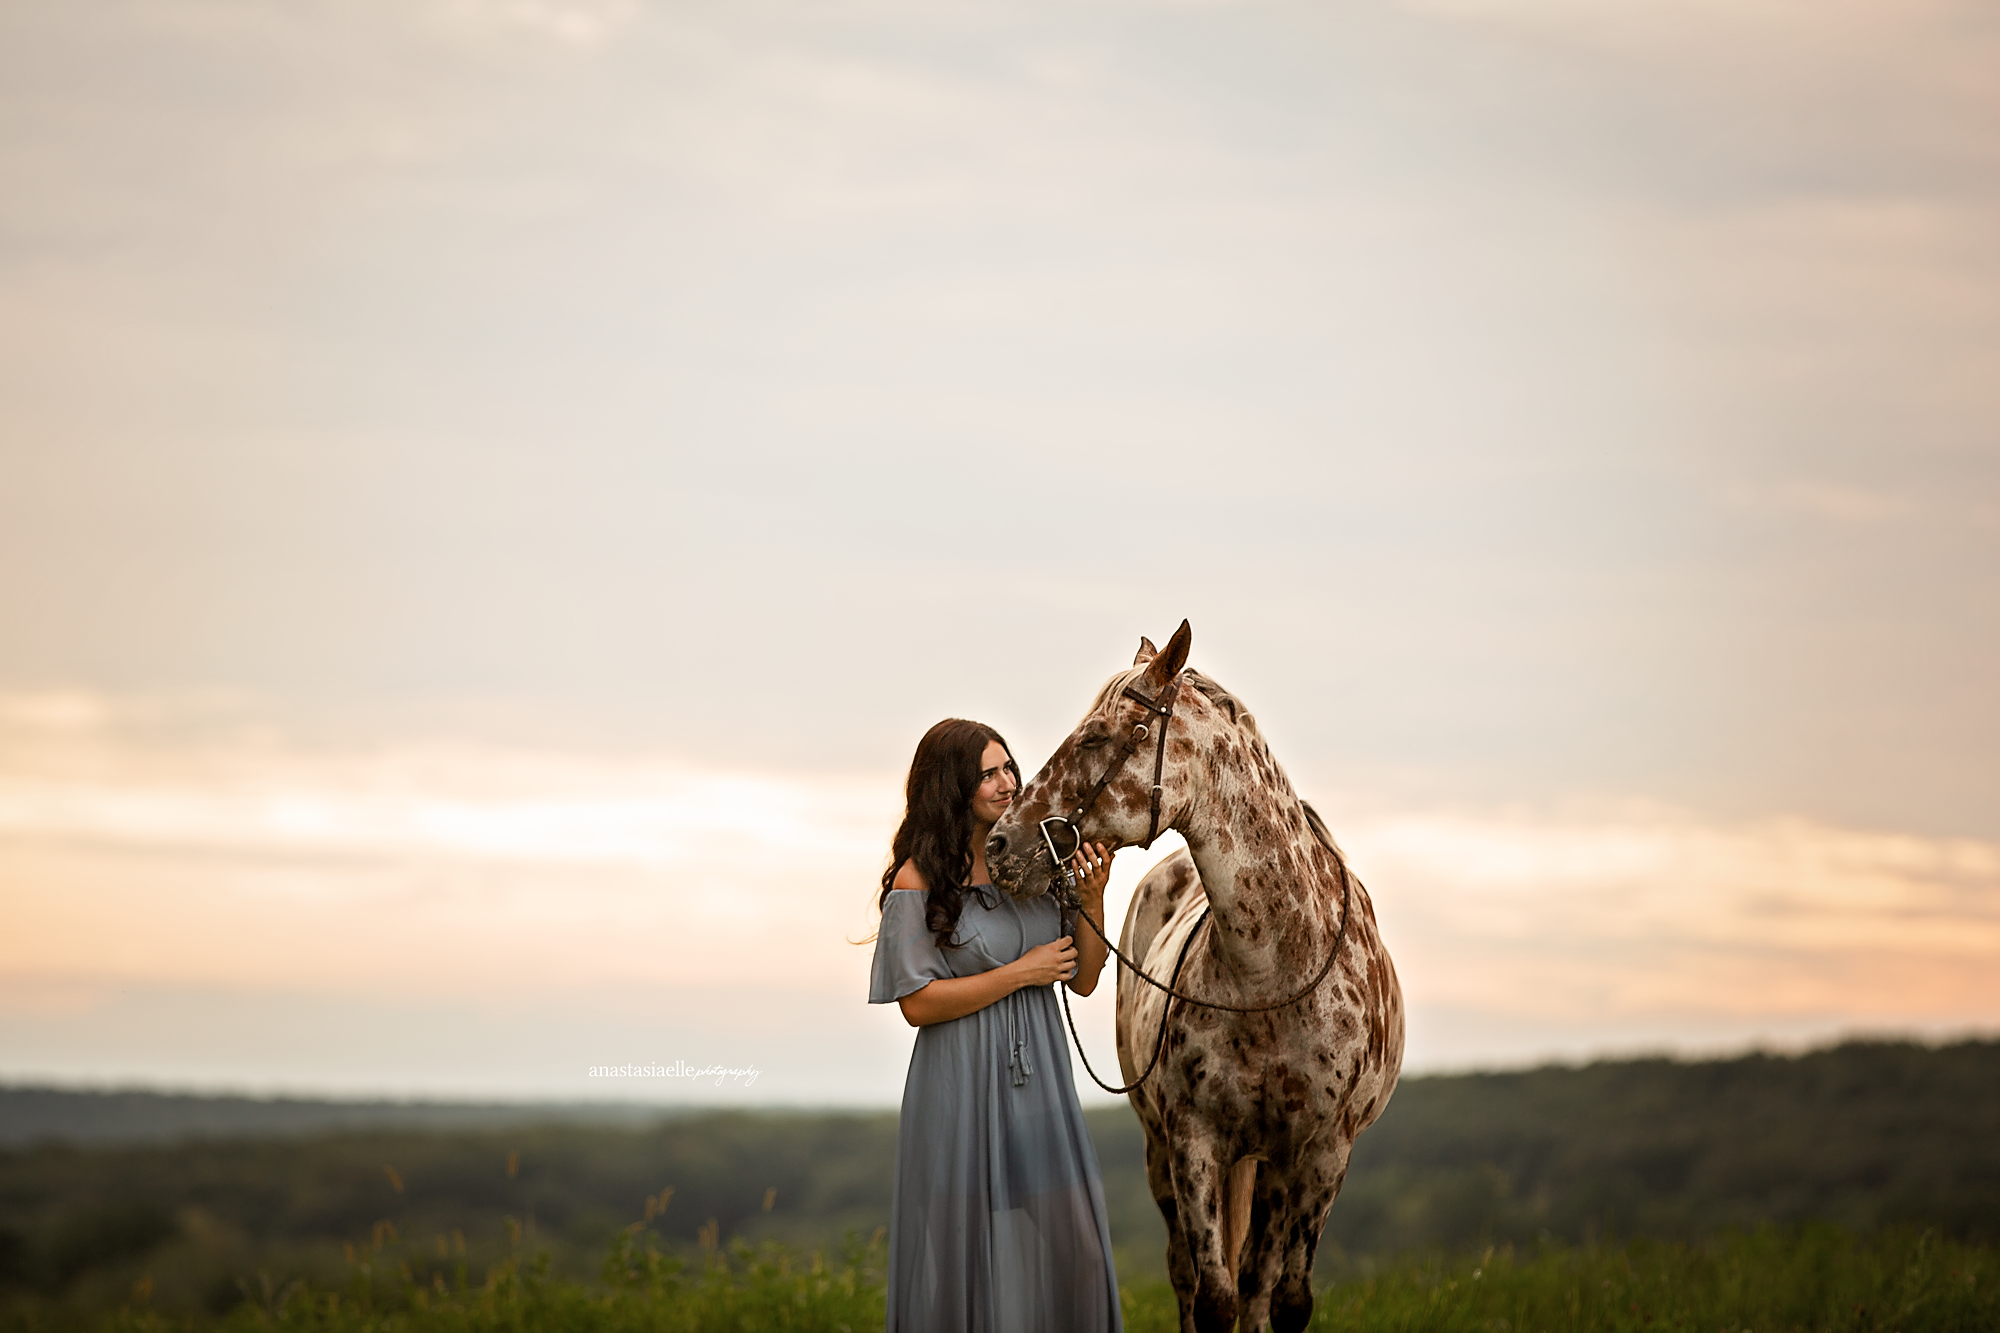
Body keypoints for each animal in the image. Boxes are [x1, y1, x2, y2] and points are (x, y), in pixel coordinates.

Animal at [986, 621, 1404, 1333]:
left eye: (1096, 736)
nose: (998, 845)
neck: (1271, 978)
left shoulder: (1323, 1154)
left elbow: (1285, 1301)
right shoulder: (1194, 1143)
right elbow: (1213, 1300)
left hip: (1273, 1170)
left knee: (1259, 1281)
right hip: (1166, 1152)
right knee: (1189, 1276)